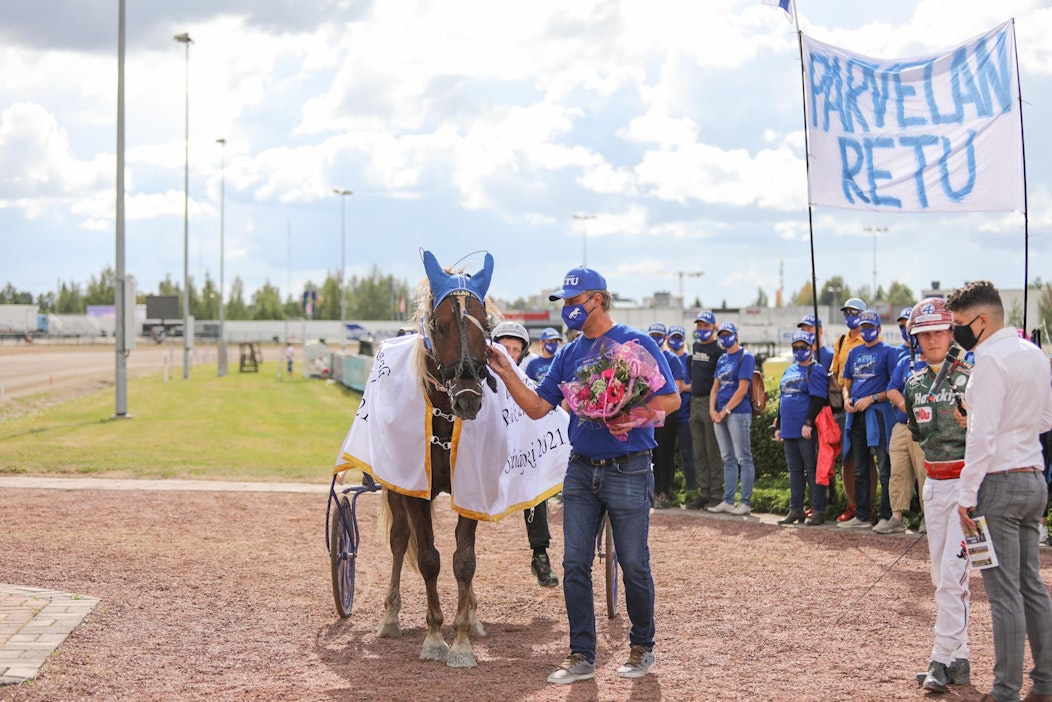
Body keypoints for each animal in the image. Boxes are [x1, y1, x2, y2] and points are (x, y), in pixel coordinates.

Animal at [376, 249, 494, 669]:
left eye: (486, 326)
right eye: (441, 327)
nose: (469, 399)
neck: (443, 419)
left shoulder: (470, 488)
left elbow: (464, 560)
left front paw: (461, 639)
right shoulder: (415, 491)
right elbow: (428, 557)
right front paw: (434, 637)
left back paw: (472, 615)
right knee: (398, 541)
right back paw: (390, 617)